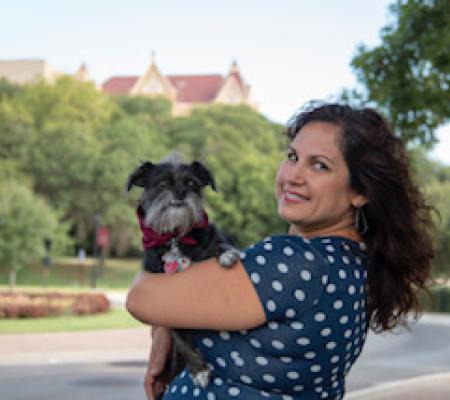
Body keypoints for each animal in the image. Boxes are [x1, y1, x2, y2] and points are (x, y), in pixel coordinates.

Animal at [126, 152, 239, 390]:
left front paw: (227, 254)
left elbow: (221, 244)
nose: (180, 192)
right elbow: (181, 338)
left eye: (191, 184)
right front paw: (200, 370)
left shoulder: (214, 238)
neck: (175, 237)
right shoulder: (166, 304)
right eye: (162, 183)